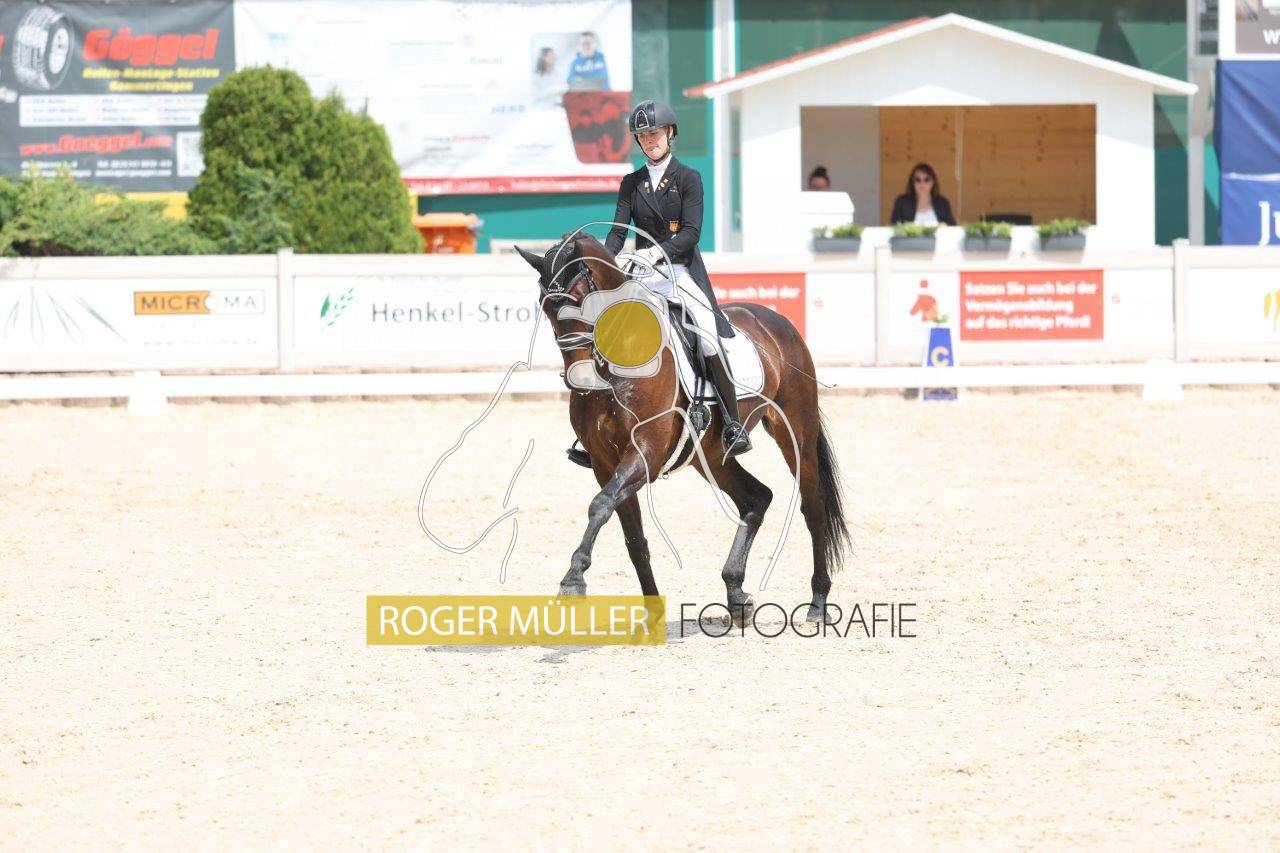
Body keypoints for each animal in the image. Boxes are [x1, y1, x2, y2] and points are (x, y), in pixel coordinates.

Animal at [516, 234, 850, 623]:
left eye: (583, 301)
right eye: (545, 306)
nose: (580, 378)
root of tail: (773, 318)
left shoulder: (645, 452)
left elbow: (600, 505)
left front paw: (572, 580)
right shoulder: (603, 462)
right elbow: (632, 537)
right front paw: (651, 615)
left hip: (796, 431)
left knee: (813, 506)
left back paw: (818, 602)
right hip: (710, 454)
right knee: (756, 497)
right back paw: (736, 594)